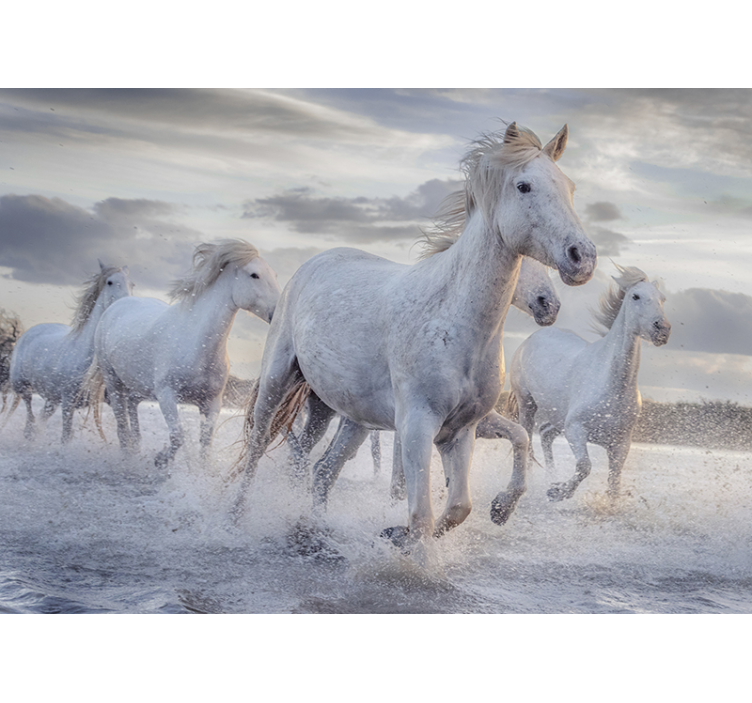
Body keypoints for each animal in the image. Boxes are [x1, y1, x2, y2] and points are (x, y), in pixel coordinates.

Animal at [7, 262, 134, 442]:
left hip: (52, 399)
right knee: (29, 411)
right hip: (22, 386)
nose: (126, 304)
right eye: (109, 282)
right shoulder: (68, 401)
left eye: (131, 284)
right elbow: (66, 436)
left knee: (40, 417)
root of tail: (28, 333)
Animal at [87, 240, 280, 468]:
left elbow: (205, 444)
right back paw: (127, 456)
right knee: (121, 424)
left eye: (274, 275)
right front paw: (160, 460)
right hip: (113, 380)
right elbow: (178, 436)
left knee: (132, 410)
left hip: (136, 386)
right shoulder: (166, 395)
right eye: (254, 275)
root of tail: (116, 306)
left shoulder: (212, 402)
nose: (278, 312)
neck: (196, 345)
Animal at [287, 255, 562, 501]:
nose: (549, 304)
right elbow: (402, 479)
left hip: (346, 419)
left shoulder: (471, 422)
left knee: (323, 462)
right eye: (521, 264)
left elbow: (519, 435)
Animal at [508, 264, 670, 501]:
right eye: (636, 296)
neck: (612, 385)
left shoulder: (620, 444)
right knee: (528, 442)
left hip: (557, 417)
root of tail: (531, 338)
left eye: (662, 298)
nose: (662, 330)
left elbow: (614, 484)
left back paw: (551, 478)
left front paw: (558, 488)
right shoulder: (575, 429)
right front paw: (558, 492)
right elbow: (584, 466)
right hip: (527, 404)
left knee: (545, 434)